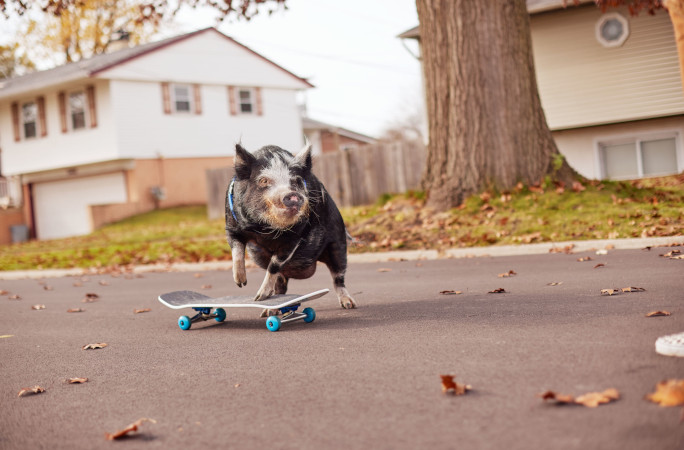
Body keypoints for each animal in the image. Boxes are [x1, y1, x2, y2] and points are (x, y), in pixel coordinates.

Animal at [225, 142, 357, 311]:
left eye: (296, 181)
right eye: (264, 180)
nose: (292, 195)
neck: (264, 230)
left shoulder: (294, 239)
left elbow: (274, 265)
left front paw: (257, 297)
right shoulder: (232, 227)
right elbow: (237, 252)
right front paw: (241, 283)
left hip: (338, 245)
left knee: (338, 278)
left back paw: (349, 304)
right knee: (280, 288)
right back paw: (267, 311)